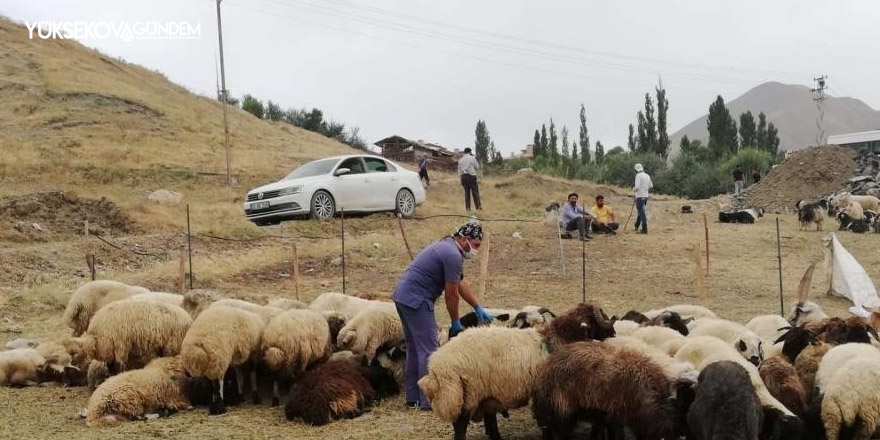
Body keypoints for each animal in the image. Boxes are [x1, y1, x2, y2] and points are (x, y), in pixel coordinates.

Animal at [65, 300, 194, 372]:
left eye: (74, 352)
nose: (72, 364)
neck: (98, 337)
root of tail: (188, 318)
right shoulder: (113, 349)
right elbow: (111, 366)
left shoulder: (121, 346)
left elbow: (119, 366)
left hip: (172, 344)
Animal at [418, 302, 612, 440]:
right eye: (599, 317)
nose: (613, 332)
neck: (555, 338)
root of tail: (437, 364)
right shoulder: (545, 394)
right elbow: (548, 424)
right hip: (468, 393)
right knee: (460, 427)